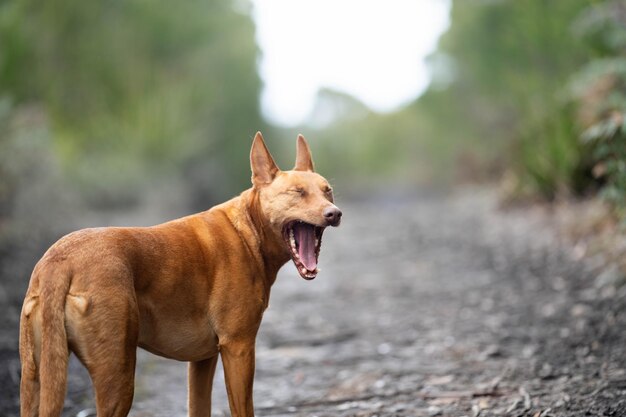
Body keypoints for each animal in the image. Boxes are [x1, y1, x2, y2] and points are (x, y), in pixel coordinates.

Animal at [20, 133, 342, 416]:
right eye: (297, 193)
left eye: (328, 190)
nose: (334, 213)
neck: (248, 229)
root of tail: (59, 260)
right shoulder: (238, 347)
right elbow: (243, 409)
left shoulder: (202, 359)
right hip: (118, 375)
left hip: (34, 377)